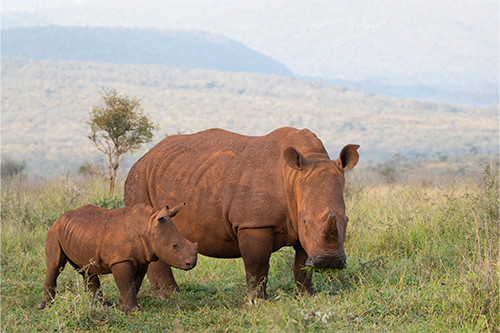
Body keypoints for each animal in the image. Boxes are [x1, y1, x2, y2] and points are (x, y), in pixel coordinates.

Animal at [38, 201, 197, 312]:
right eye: (175, 246)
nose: (192, 263)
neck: (148, 227)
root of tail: (59, 217)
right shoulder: (120, 260)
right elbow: (126, 283)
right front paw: (132, 311)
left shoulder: (142, 259)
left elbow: (135, 282)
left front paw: (121, 304)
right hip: (54, 231)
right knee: (55, 265)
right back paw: (44, 306)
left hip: (74, 233)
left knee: (86, 270)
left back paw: (101, 306)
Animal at [125, 126, 360, 296]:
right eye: (305, 222)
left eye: (347, 221)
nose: (329, 261)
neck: (294, 177)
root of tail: (142, 157)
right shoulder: (254, 223)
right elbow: (257, 265)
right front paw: (258, 301)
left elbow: (302, 266)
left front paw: (307, 296)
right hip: (138, 178)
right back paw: (170, 295)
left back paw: (163, 294)